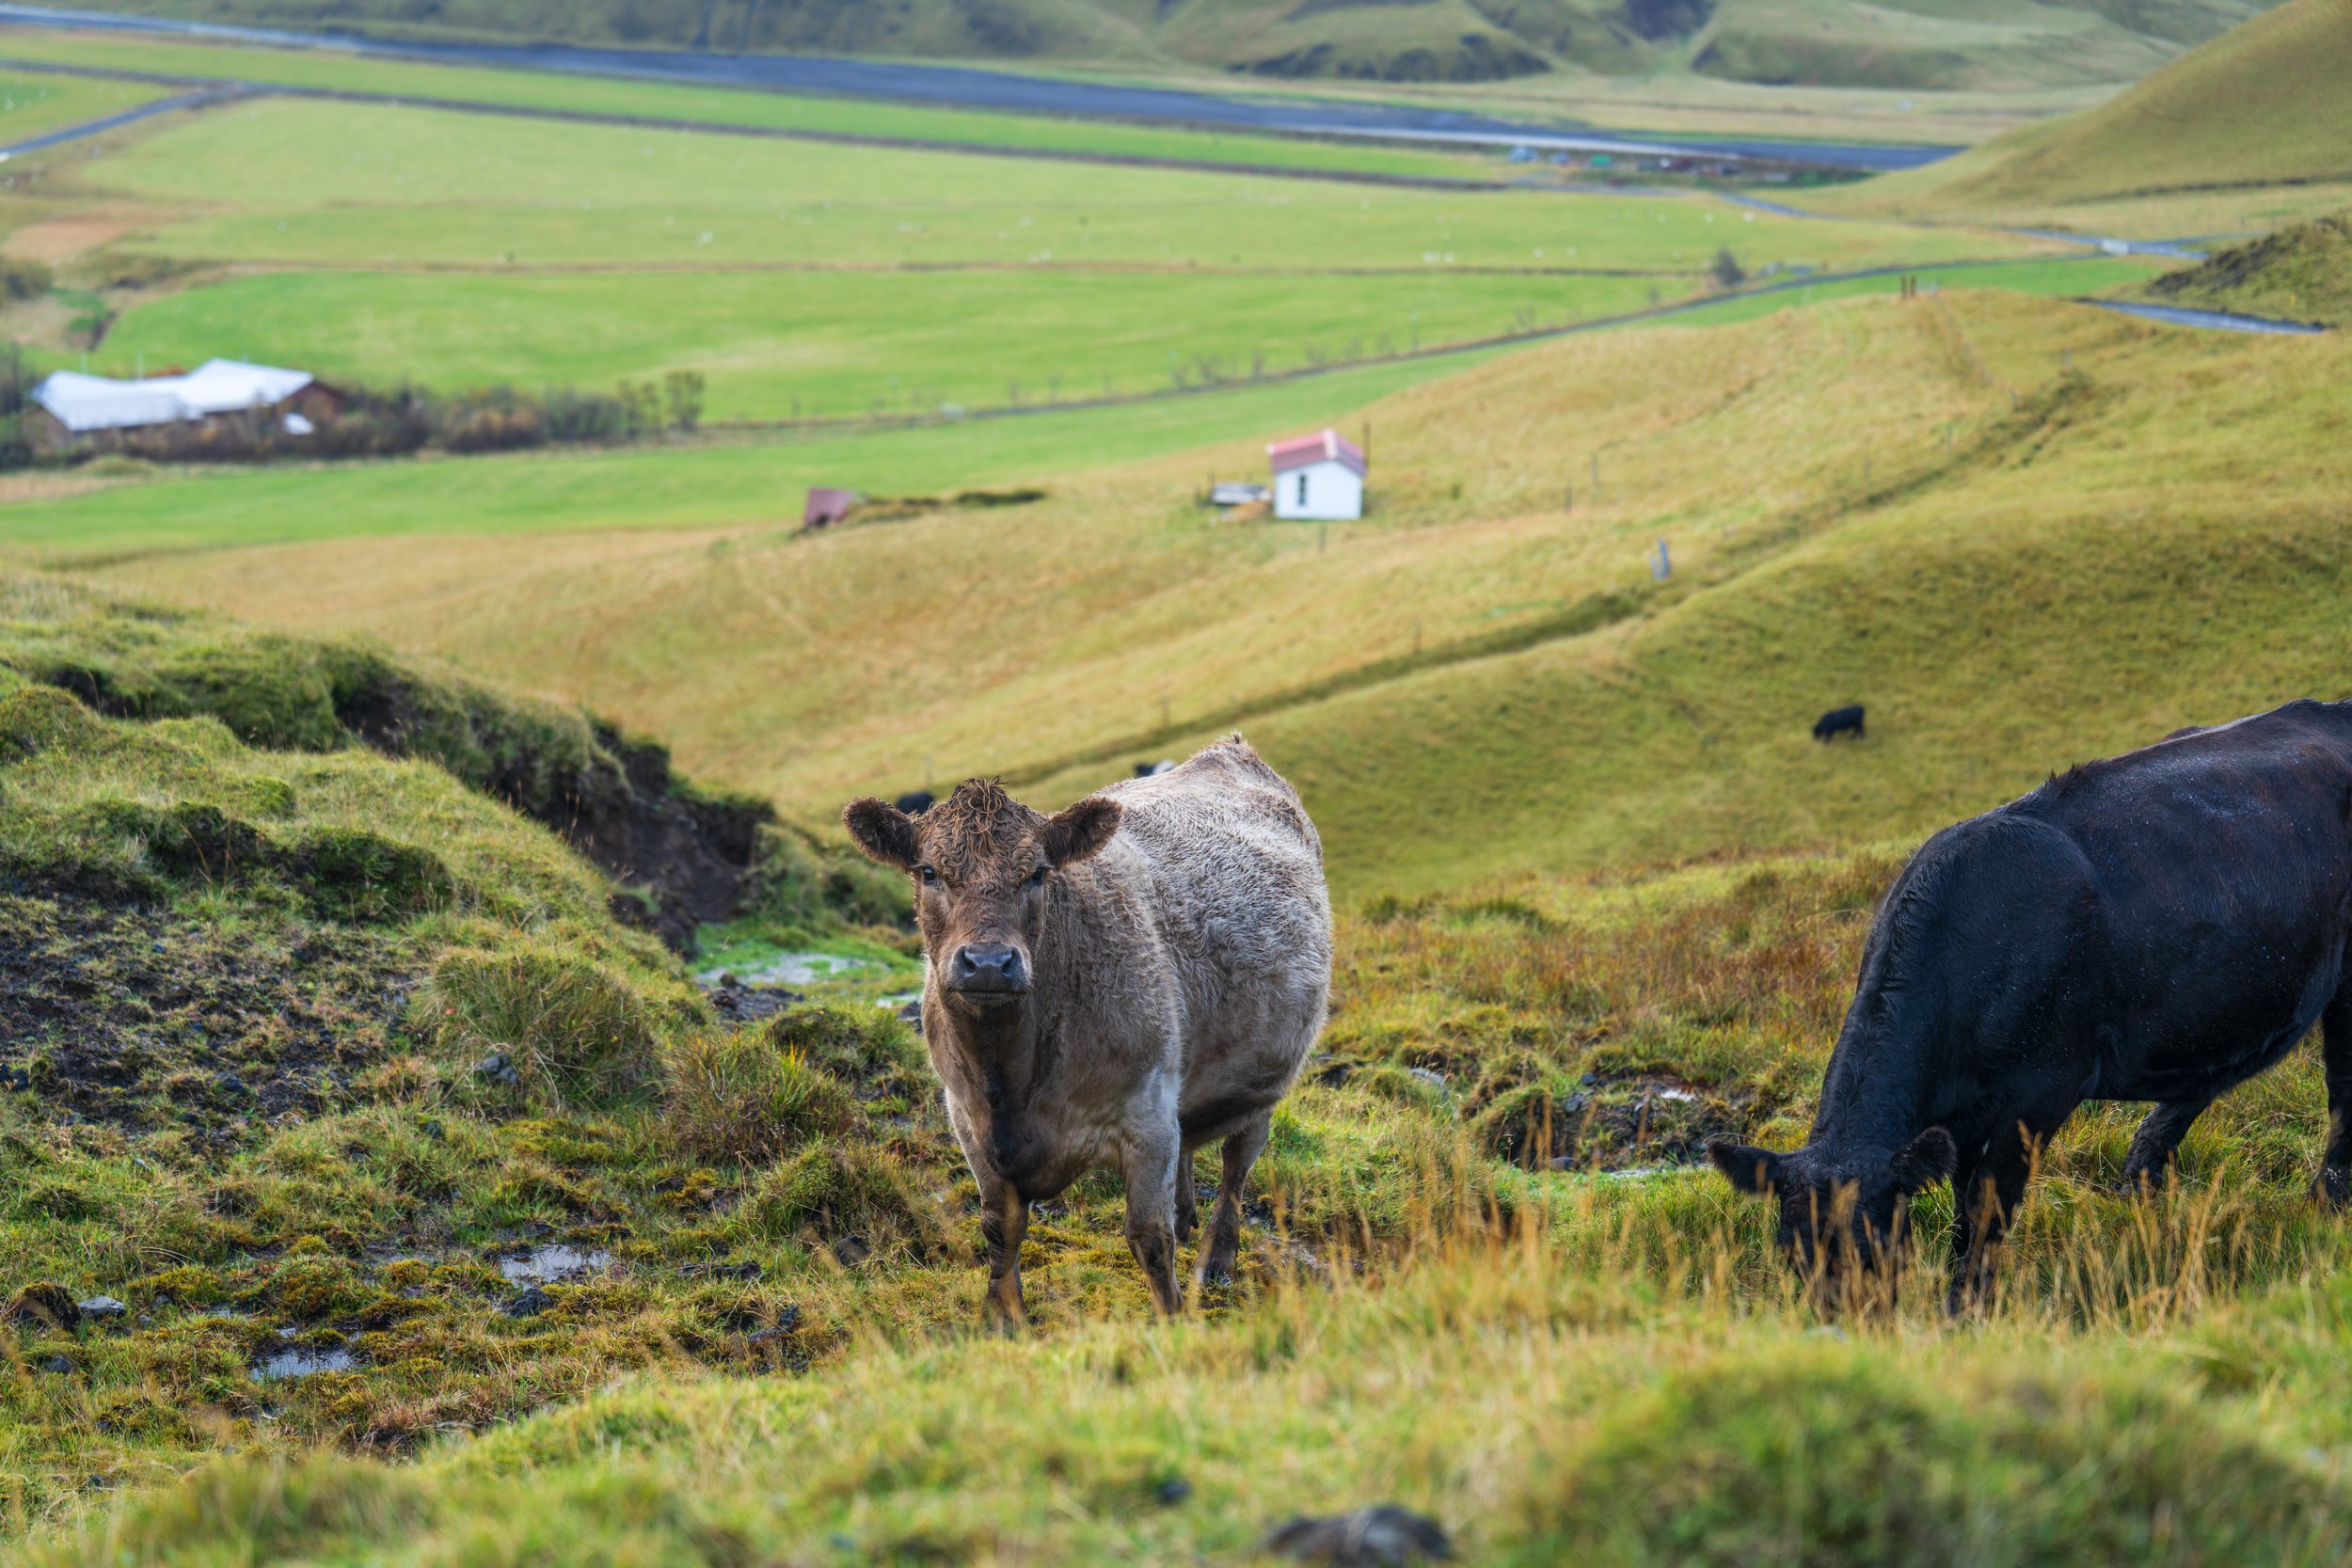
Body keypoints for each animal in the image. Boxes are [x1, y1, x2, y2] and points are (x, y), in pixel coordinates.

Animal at [842, 736, 1331, 1322]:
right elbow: (1000, 1231)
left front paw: (1173, 1319)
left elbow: (1149, 1237)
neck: (1008, 1076)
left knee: (1237, 1168)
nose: (988, 963)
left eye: (1037, 873)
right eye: (929, 871)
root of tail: (1227, 750)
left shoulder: (1148, 1117)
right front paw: (1002, 1319)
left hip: (1264, 1080)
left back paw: (1216, 1259)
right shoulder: (967, 1121)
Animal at [1710, 700, 2352, 1315]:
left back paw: (2323, 1211)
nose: (1842, 1329)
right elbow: (1964, 1208)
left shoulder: (2040, 1093)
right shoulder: (1963, 1122)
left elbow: (1985, 1210)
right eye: (1790, 1255)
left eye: (1876, 1249)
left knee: (2342, 1096)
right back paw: (2137, 1197)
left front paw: (1964, 1312)